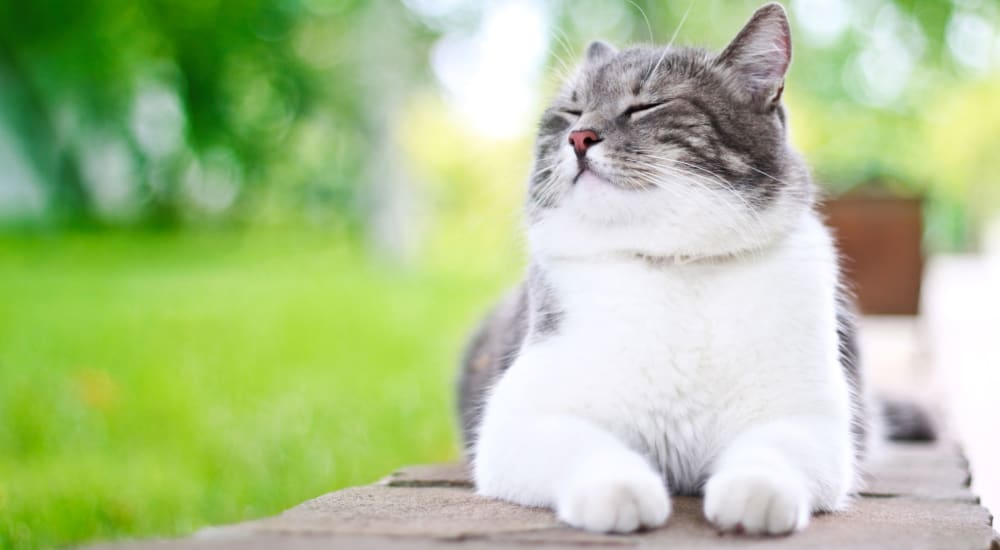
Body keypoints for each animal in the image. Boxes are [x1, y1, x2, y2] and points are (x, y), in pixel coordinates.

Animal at [458, 2, 928, 536]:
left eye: (647, 105)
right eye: (569, 112)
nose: (579, 136)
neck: (675, 264)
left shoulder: (808, 420)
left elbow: (771, 451)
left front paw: (755, 492)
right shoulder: (518, 421)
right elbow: (585, 448)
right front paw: (620, 491)